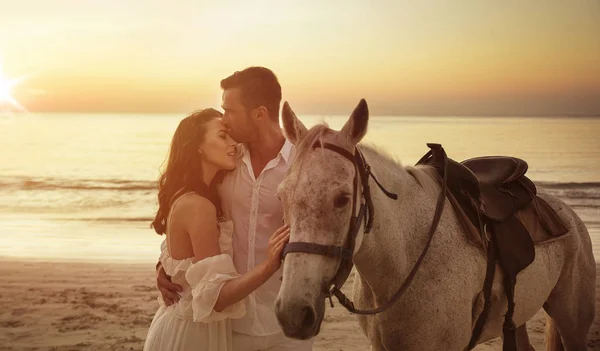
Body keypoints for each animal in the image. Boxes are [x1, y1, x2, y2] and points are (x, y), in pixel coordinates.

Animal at [276, 99, 596, 351]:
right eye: (282, 196)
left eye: (342, 198)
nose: (293, 313)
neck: (402, 263)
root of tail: (569, 214)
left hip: (571, 322)